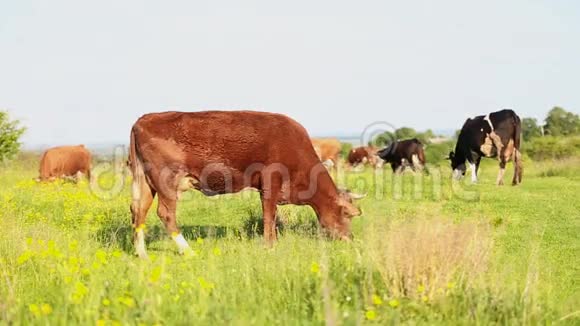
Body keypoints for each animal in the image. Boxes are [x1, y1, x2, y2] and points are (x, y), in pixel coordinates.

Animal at [130, 111, 364, 258]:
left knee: (139, 210)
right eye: (346, 214)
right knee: (165, 213)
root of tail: (144, 119)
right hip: (166, 179)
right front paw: (270, 246)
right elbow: (269, 215)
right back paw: (187, 250)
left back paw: (142, 253)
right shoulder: (270, 181)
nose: (351, 238)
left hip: (145, 181)